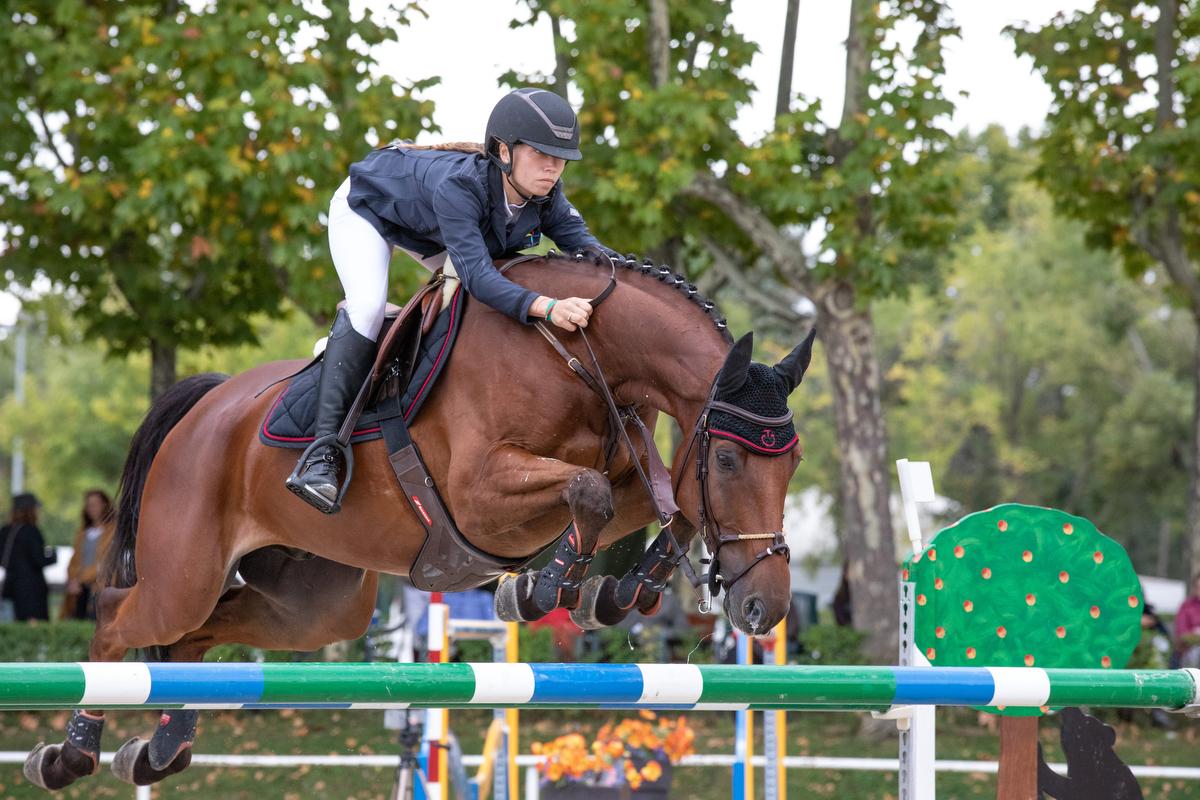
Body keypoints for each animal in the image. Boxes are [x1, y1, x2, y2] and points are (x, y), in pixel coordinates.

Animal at [23, 253, 816, 791]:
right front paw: (540, 589)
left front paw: (618, 594)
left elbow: (666, 503)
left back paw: (159, 750)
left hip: (315, 605)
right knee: (120, 615)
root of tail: (207, 405)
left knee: (196, 638)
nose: (765, 607)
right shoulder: (479, 494)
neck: (575, 355)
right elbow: (588, 493)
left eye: (795, 464)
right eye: (730, 461)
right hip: (183, 572)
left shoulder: (629, 473)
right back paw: (69, 755)